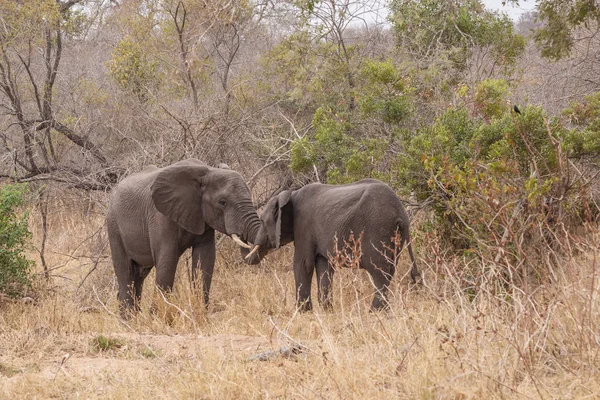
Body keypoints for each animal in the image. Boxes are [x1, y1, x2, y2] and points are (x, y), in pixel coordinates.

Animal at [106, 159, 262, 316]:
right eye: (222, 202)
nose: (244, 239)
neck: (207, 171)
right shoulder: (160, 216)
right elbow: (167, 262)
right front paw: (157, 317)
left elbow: (204, 261)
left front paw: (200, 315)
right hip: (114, 226)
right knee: (126, 273)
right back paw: (128, 319)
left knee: (139, 275)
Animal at [241, 179, 420, 312]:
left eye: (262, 221)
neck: (291, 194)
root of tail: (401, 214)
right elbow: (324, 266)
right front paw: (327, 310)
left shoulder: (303, 226)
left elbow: (303, 264)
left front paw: (303, 312)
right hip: (394, 236)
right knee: (389, 270)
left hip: (377, 229)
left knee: (379, 271)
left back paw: (375, 312)